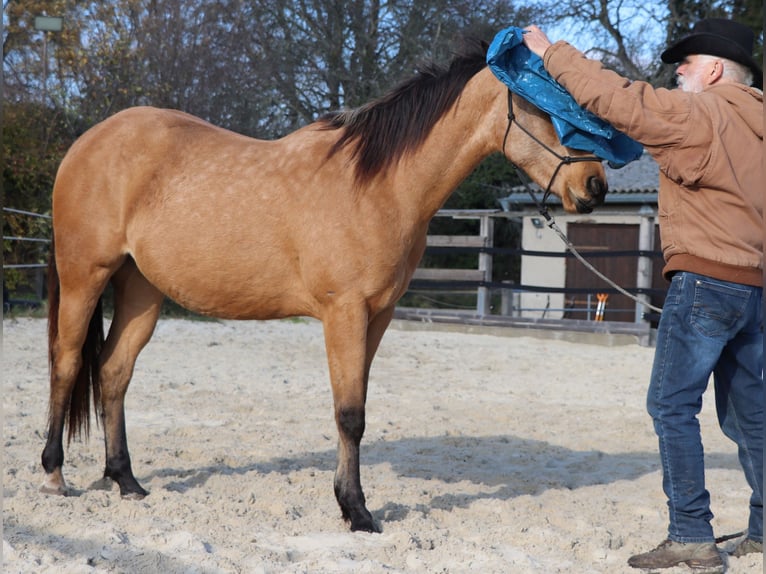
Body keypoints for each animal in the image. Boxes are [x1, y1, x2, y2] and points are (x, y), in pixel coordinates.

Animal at [41, 38, 607, 533]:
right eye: (543, 104)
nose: (595, 186)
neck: (380, 184)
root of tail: (85, 144)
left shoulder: (378, 316)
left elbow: (356, 410)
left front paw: (347, 502)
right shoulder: (345, 312)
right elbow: (350, 415)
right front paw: (357, 512)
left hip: (141, 290)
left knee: (113, 371)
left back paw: (126, 481)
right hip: (85, 276)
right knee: (67, 363)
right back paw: (54, 474)